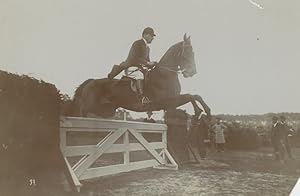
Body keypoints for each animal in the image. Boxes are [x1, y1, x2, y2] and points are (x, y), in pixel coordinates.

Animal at [73, 34, 211, 118]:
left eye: (193, 52)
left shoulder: (172, 102)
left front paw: (206, 111)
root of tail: (91, 81)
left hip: (106, 110)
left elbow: (195, 95)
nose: (192, 72)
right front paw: (198, 112)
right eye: (186, 53)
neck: (165, 75)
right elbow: (189, 96)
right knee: (81, 111)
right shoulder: (166, 101)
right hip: (89, 107)